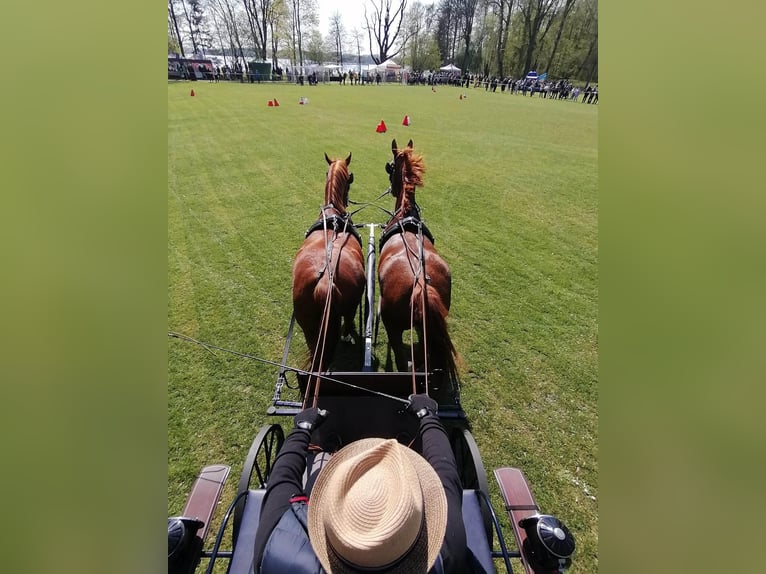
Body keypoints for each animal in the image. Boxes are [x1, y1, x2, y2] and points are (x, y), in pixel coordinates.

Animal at [378, 140, 456, 382]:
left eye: (390, 167)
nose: (391, 188)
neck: (406, 213)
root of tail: (421, 286)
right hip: (426, 329)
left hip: (394, 327)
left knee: (403, 362)